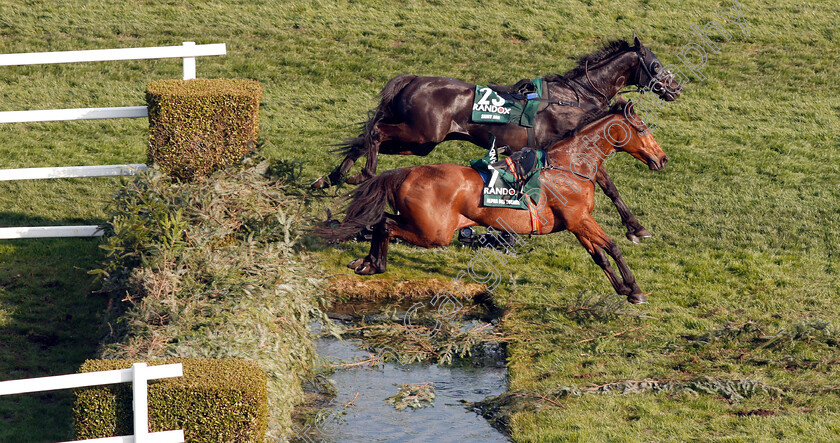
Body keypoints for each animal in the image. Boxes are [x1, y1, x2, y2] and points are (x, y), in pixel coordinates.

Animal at [312, 36, 680, 245]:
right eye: (655, 64)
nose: (675, 88)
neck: (575, 97)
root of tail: (413, 79)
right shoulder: (572, 149)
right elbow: (610, 186)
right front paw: (636, 227)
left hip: (419, 142)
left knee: (365, 137)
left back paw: (333, 178)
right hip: (422, 135)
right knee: (374, 133)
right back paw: (363, 174)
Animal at [318, 103, 668, 306]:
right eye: (642, 128)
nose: (662, 158)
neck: (570, 165)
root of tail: (406, 172)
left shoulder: (577, 224)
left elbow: (600, 256)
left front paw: (623, 288)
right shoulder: (580, 219)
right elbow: (612, 248)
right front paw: (634, 289)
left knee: (381, 222)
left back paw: (369, 262)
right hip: (435, 232)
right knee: (387, 225)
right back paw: (375, 263)